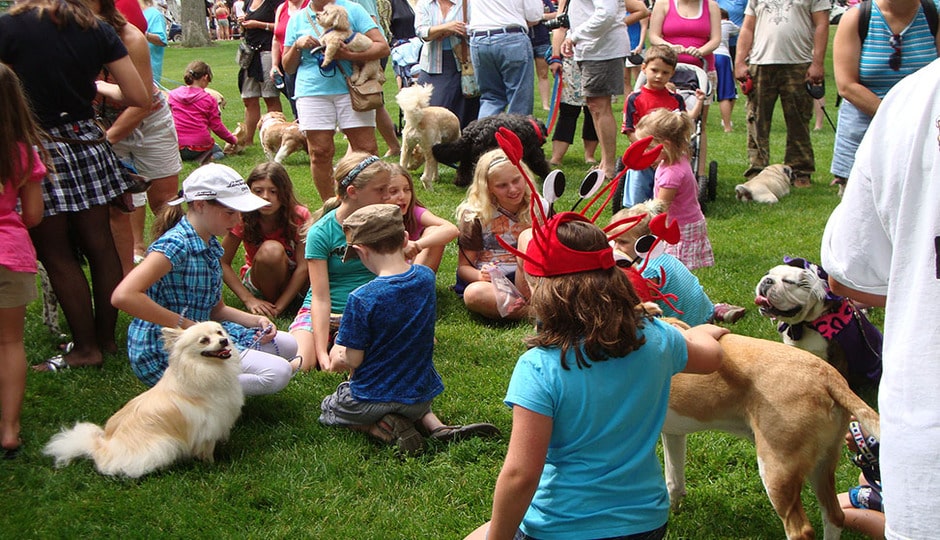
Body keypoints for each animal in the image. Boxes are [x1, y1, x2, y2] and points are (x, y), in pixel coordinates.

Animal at [44, 320, 244, 476]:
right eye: (204, 340)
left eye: (219, 332)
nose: (224, 340)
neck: (204, 368)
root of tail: (102, 449)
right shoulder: (208, 425)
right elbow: (207, 450)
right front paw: (212, 465)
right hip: (165, 445)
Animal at [664, 324, 876, 540]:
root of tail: (829, 378)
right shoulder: (674, 434)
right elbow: (674, 482)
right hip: (823, 465)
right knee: (835, 516)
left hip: (776, 472)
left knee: (800, 530)